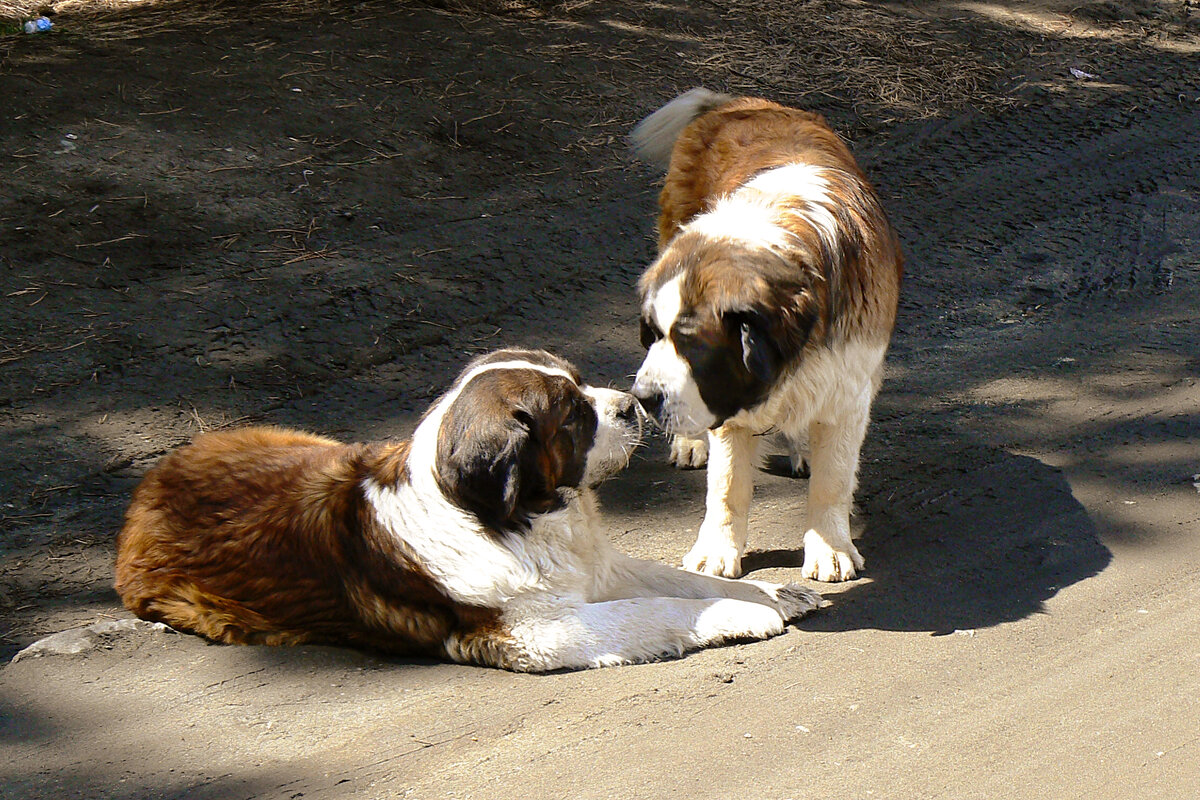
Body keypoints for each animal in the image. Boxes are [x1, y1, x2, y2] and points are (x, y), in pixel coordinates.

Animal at [114, 347, 825, 671]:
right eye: (573, 417)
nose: (630, 406)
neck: (510, 520)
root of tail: (151, 484)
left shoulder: (601, 568)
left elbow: (680, 580)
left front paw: (775, 591)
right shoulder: (537, 633)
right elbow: (660, 609)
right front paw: (745, 614)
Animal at [628, 89, 902, 582]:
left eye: (694, 344)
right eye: (653, 334)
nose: (643, 397)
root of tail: (735, 102)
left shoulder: (847, 385)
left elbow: (833, 479)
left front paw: (829, 546)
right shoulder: (729, 393)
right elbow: (726, 483)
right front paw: (716, 549)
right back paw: (690, 442)